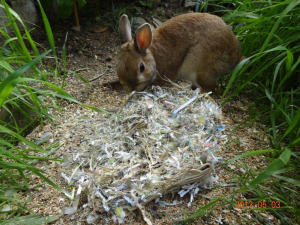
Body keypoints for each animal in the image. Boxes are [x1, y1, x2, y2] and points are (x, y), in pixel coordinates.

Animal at [116, 12, 244, 92]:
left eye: (142, 68)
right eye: (118, 67)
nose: (131, 89)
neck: (153, 57)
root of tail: (235, 59)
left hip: (198, 67)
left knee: (209, 88)